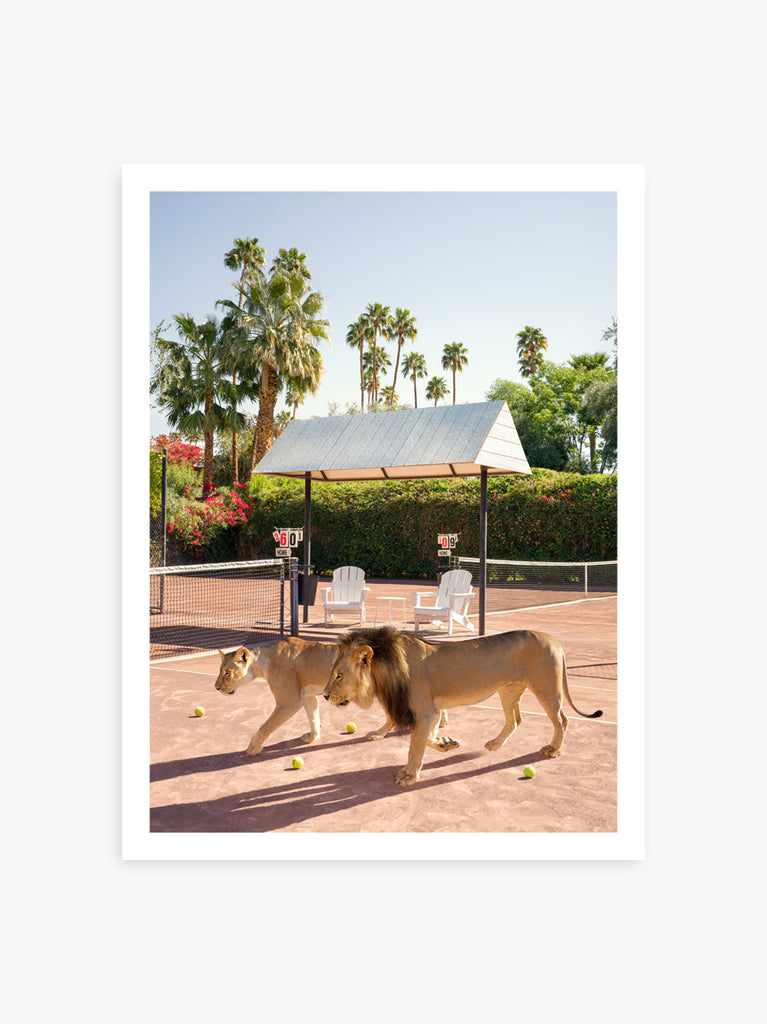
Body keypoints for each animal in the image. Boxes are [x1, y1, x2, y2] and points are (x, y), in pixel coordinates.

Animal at [323, 626, 603, 787]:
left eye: (339, 675)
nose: (325, 696)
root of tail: (554, 640)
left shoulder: (423, 711)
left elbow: (415, 747)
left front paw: (409, 776)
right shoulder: (432, 710)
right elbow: (427, 739)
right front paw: (446, 744)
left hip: (546, 689)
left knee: (562, 720)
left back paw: (553, 750)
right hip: (508, 689)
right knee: (515, 719)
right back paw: (495, 744)